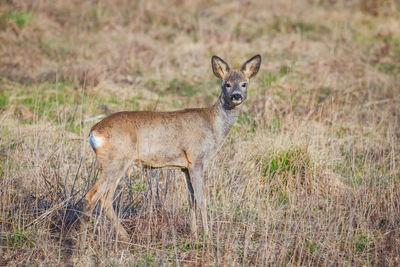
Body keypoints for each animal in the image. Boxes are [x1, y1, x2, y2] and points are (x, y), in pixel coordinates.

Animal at [80, 55, 262, 247]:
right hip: (116, 161)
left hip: (115, 163)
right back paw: (90, 243)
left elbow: (191, 199)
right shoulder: (197, 159)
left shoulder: (185, 166)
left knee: (103, 198)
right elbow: (202, 199)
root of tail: (94, 131)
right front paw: (207, 236)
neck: (214, 124)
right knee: (94, 197)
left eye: (244, 83)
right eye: (226, 84)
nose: (236, 96)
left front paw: (194, 235)